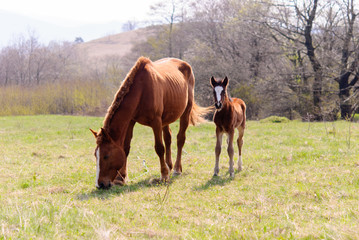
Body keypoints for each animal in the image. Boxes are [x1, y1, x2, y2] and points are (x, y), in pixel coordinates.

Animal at [90, 57, 210, 188]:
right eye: (96, 155)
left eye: (106, 156)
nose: (100, 184)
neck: (141, 90)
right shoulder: (131, 121)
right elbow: (126, 148)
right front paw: (120, 178)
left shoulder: (156, 122)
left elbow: (159, 148)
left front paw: (164, 175)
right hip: (166, 118)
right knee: (168, 138)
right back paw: (169, 166)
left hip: (185, 112)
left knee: (180, 139)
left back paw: (176, 169)